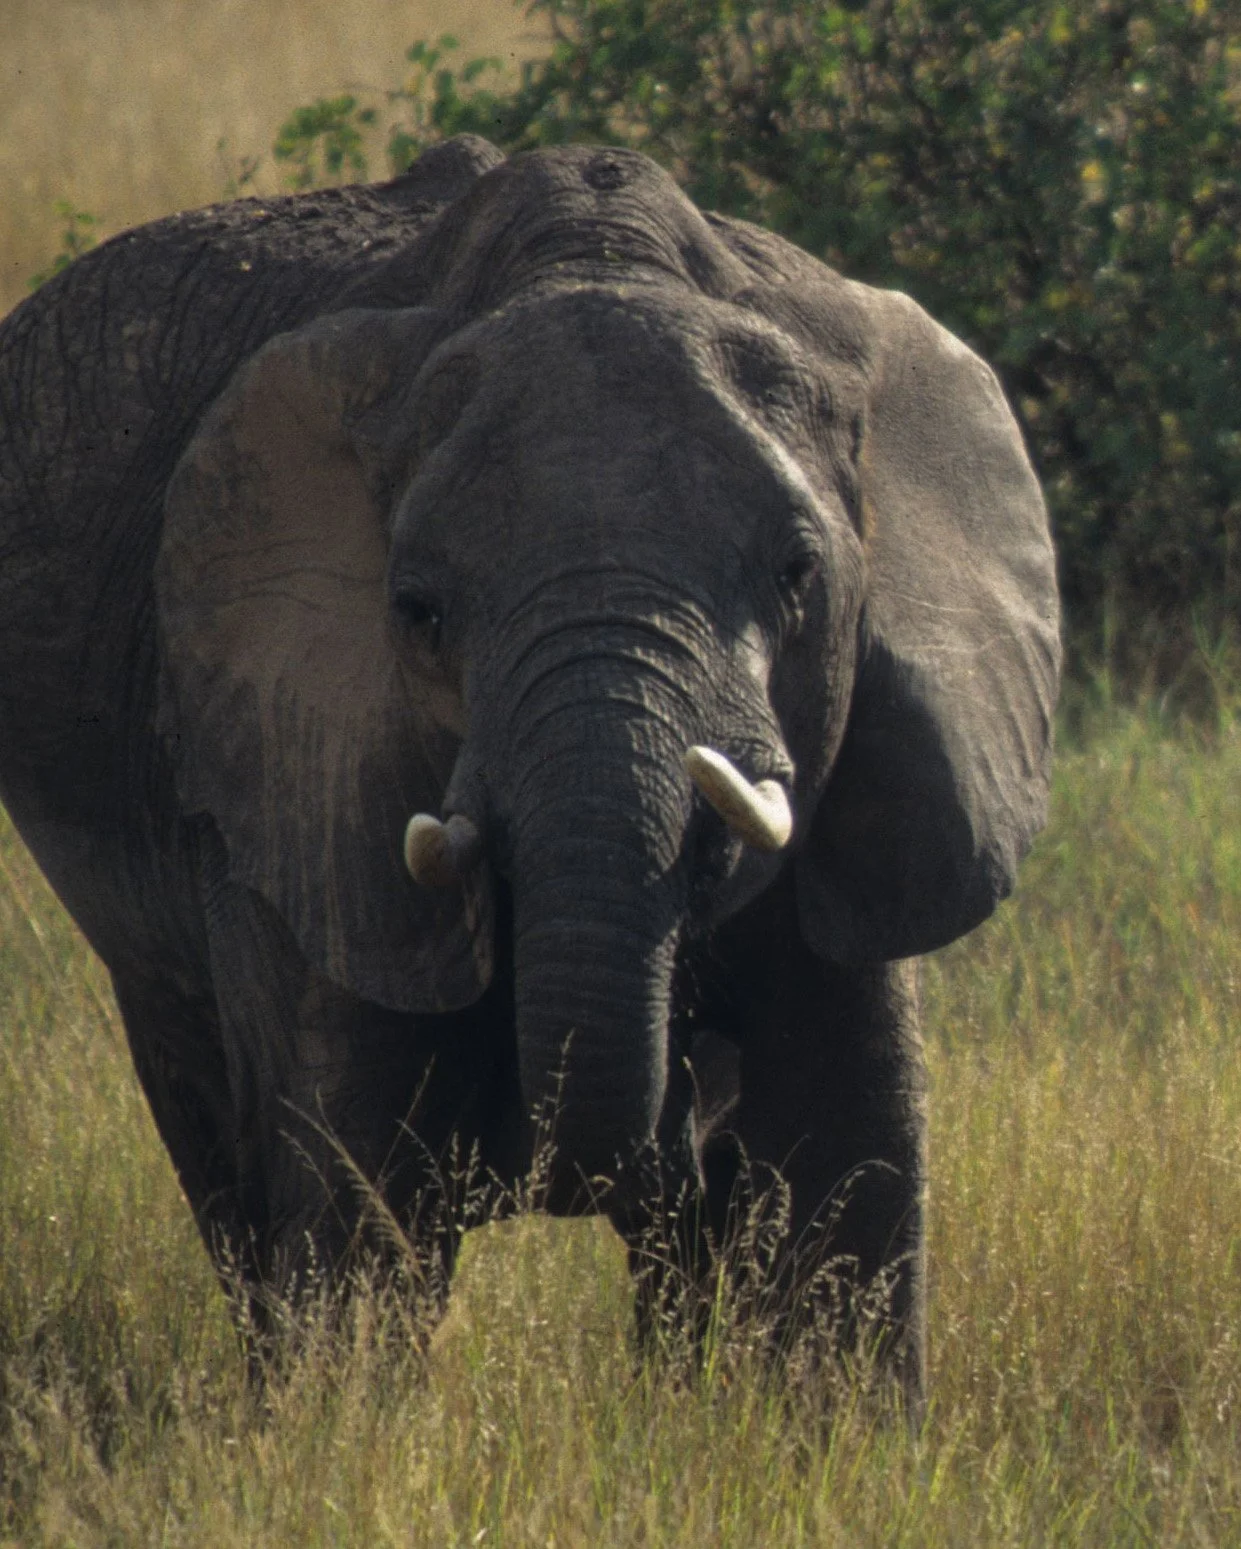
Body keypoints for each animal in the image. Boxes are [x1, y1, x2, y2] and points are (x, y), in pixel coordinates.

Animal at [0, 134, 1059, 1404]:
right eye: (418, 612)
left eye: (799, 573)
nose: (678, 1126)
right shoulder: (304, 762)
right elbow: (360, 1175)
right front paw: (344, 1427)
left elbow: (847, 1139)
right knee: (219, 1141)